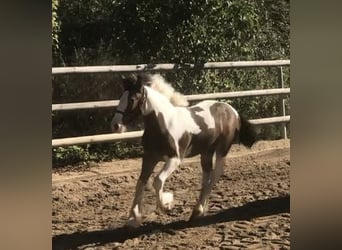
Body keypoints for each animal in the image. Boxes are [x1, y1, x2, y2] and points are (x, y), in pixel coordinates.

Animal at [110, 73, 256, 228]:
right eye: (121, 98)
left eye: (132, 99)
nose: (115, 125)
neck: (164, 124)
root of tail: (233, 111)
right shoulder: (149, 157)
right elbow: (140, 183)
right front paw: (133, 218)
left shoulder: (175, 159)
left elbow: (157, 181)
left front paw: (166, 205)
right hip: (206, 152)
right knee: (207, 177)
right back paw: (198, 211)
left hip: (222, 150)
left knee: (215, 176)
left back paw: (197, 211)